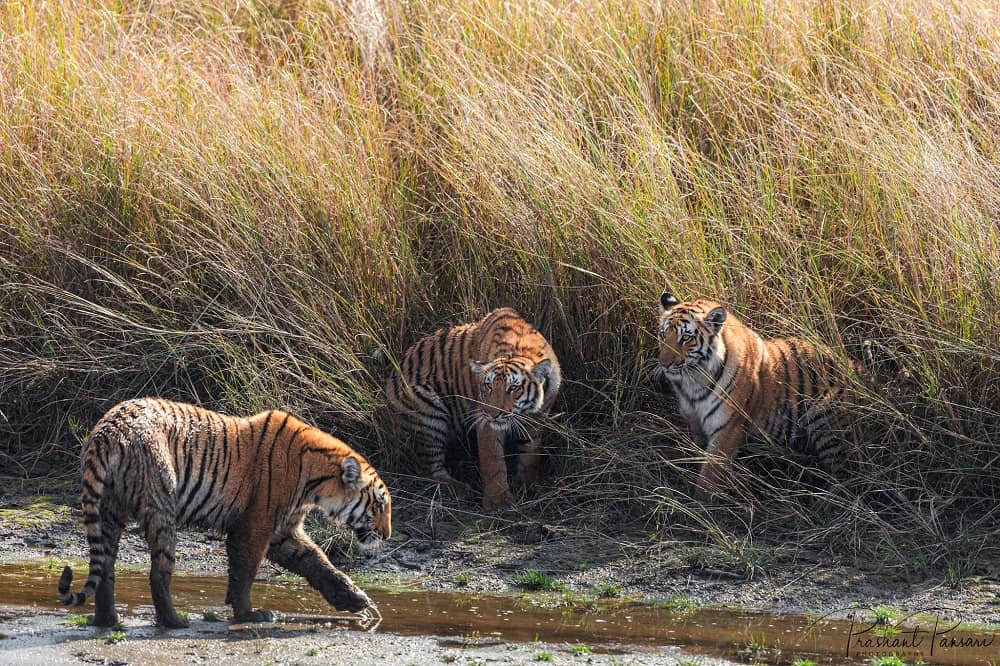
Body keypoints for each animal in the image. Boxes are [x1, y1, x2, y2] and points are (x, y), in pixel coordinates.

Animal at [53, 396, 390, 624]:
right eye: (381, 503)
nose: (387, 535)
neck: (315, 482)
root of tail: (108, 430)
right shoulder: (256, 525)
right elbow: (245, 571)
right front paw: (249, 614)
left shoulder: (283, 531)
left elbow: (317, 562)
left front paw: (356, 599)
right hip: (161, 506)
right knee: (158, 573)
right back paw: (175, 622)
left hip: (108, 509)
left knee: (106, 569)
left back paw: (108, 621)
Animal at [386, 308, 564, 506]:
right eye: (488, 386)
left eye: (513, 388)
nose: (493, 414)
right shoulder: (485, 423)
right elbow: (493, 460)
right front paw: (499, 501)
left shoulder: (537, 419)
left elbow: (530, 455)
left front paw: (528, 486)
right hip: (428, 412)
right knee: (431, 469)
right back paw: (461, 489)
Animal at [652, 294, 856, 496]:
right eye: (663, 335)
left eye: (686, 338)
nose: (664, 364)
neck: (692, 383)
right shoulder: (695, 422)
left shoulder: (727, 429)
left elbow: (709, 477)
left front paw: (699, 502)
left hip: (827, 426)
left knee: (842, 472)